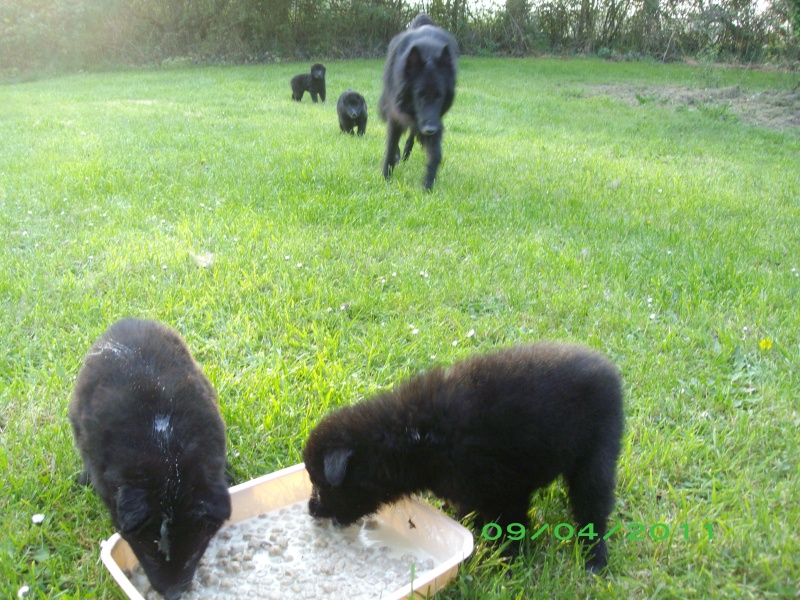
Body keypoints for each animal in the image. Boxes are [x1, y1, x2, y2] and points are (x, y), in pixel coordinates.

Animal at [304, 342, 624, 572]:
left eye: (321, 484)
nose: (311, 510)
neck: (414, 438)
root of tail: (609, 369)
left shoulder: (508, 490)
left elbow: (512, 527)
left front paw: (509, 563)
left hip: (596, 459)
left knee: (593, 509)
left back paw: (595, 559)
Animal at [380, 12, 456, 190]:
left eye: (439, 95)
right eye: (419, 94)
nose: (430, 130)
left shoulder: (435, 119)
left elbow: (435, 155)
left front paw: (428, 185)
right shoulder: (396, 115)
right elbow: (390, 146)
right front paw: (386, 177)